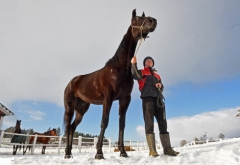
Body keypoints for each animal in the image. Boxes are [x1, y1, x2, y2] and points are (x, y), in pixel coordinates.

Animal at [62, 8, 157, 159]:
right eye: (136, 19)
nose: (153, 21)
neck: (120, 68)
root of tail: (71, 82)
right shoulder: (108, 98)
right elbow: (104, 122)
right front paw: (99, 153)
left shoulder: (125, 99)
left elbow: (122, 124)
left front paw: (123, 152)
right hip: (69, 107)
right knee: (67, 127)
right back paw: (66, 153)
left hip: (81, 110)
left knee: (72, 127)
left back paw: (69, 153)